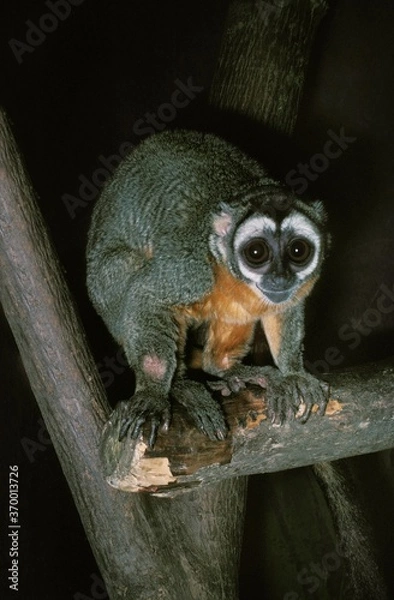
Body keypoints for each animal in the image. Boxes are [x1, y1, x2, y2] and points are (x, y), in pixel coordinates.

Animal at [86, 132, 330, 450]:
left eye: (298, 251)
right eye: (256, 252)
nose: (280, 278)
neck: (227, 269)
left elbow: (285, 308)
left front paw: (293, 374)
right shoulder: (191, 268)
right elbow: (146, 295)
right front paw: (153, 395)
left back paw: (226, 369)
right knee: (128, 268)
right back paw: (181, 386)